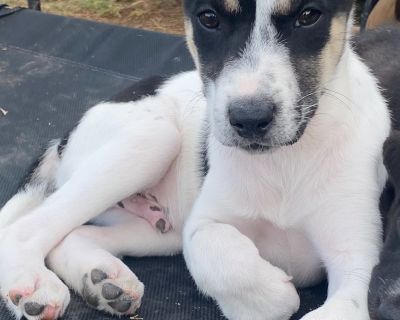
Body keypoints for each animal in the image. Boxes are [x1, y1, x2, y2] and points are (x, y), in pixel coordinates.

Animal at [0, 0, 396, 320]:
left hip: (162, 232)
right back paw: (35, 283)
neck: (286, 159)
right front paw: (274, 292)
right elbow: (232, 269)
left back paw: (103, 280)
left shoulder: (358, 262)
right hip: (154, 138)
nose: (249, 119)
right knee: (27, 228)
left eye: (309, 16)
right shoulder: (203, 225)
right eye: (209, 19)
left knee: (72, 234)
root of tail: (63, 138)